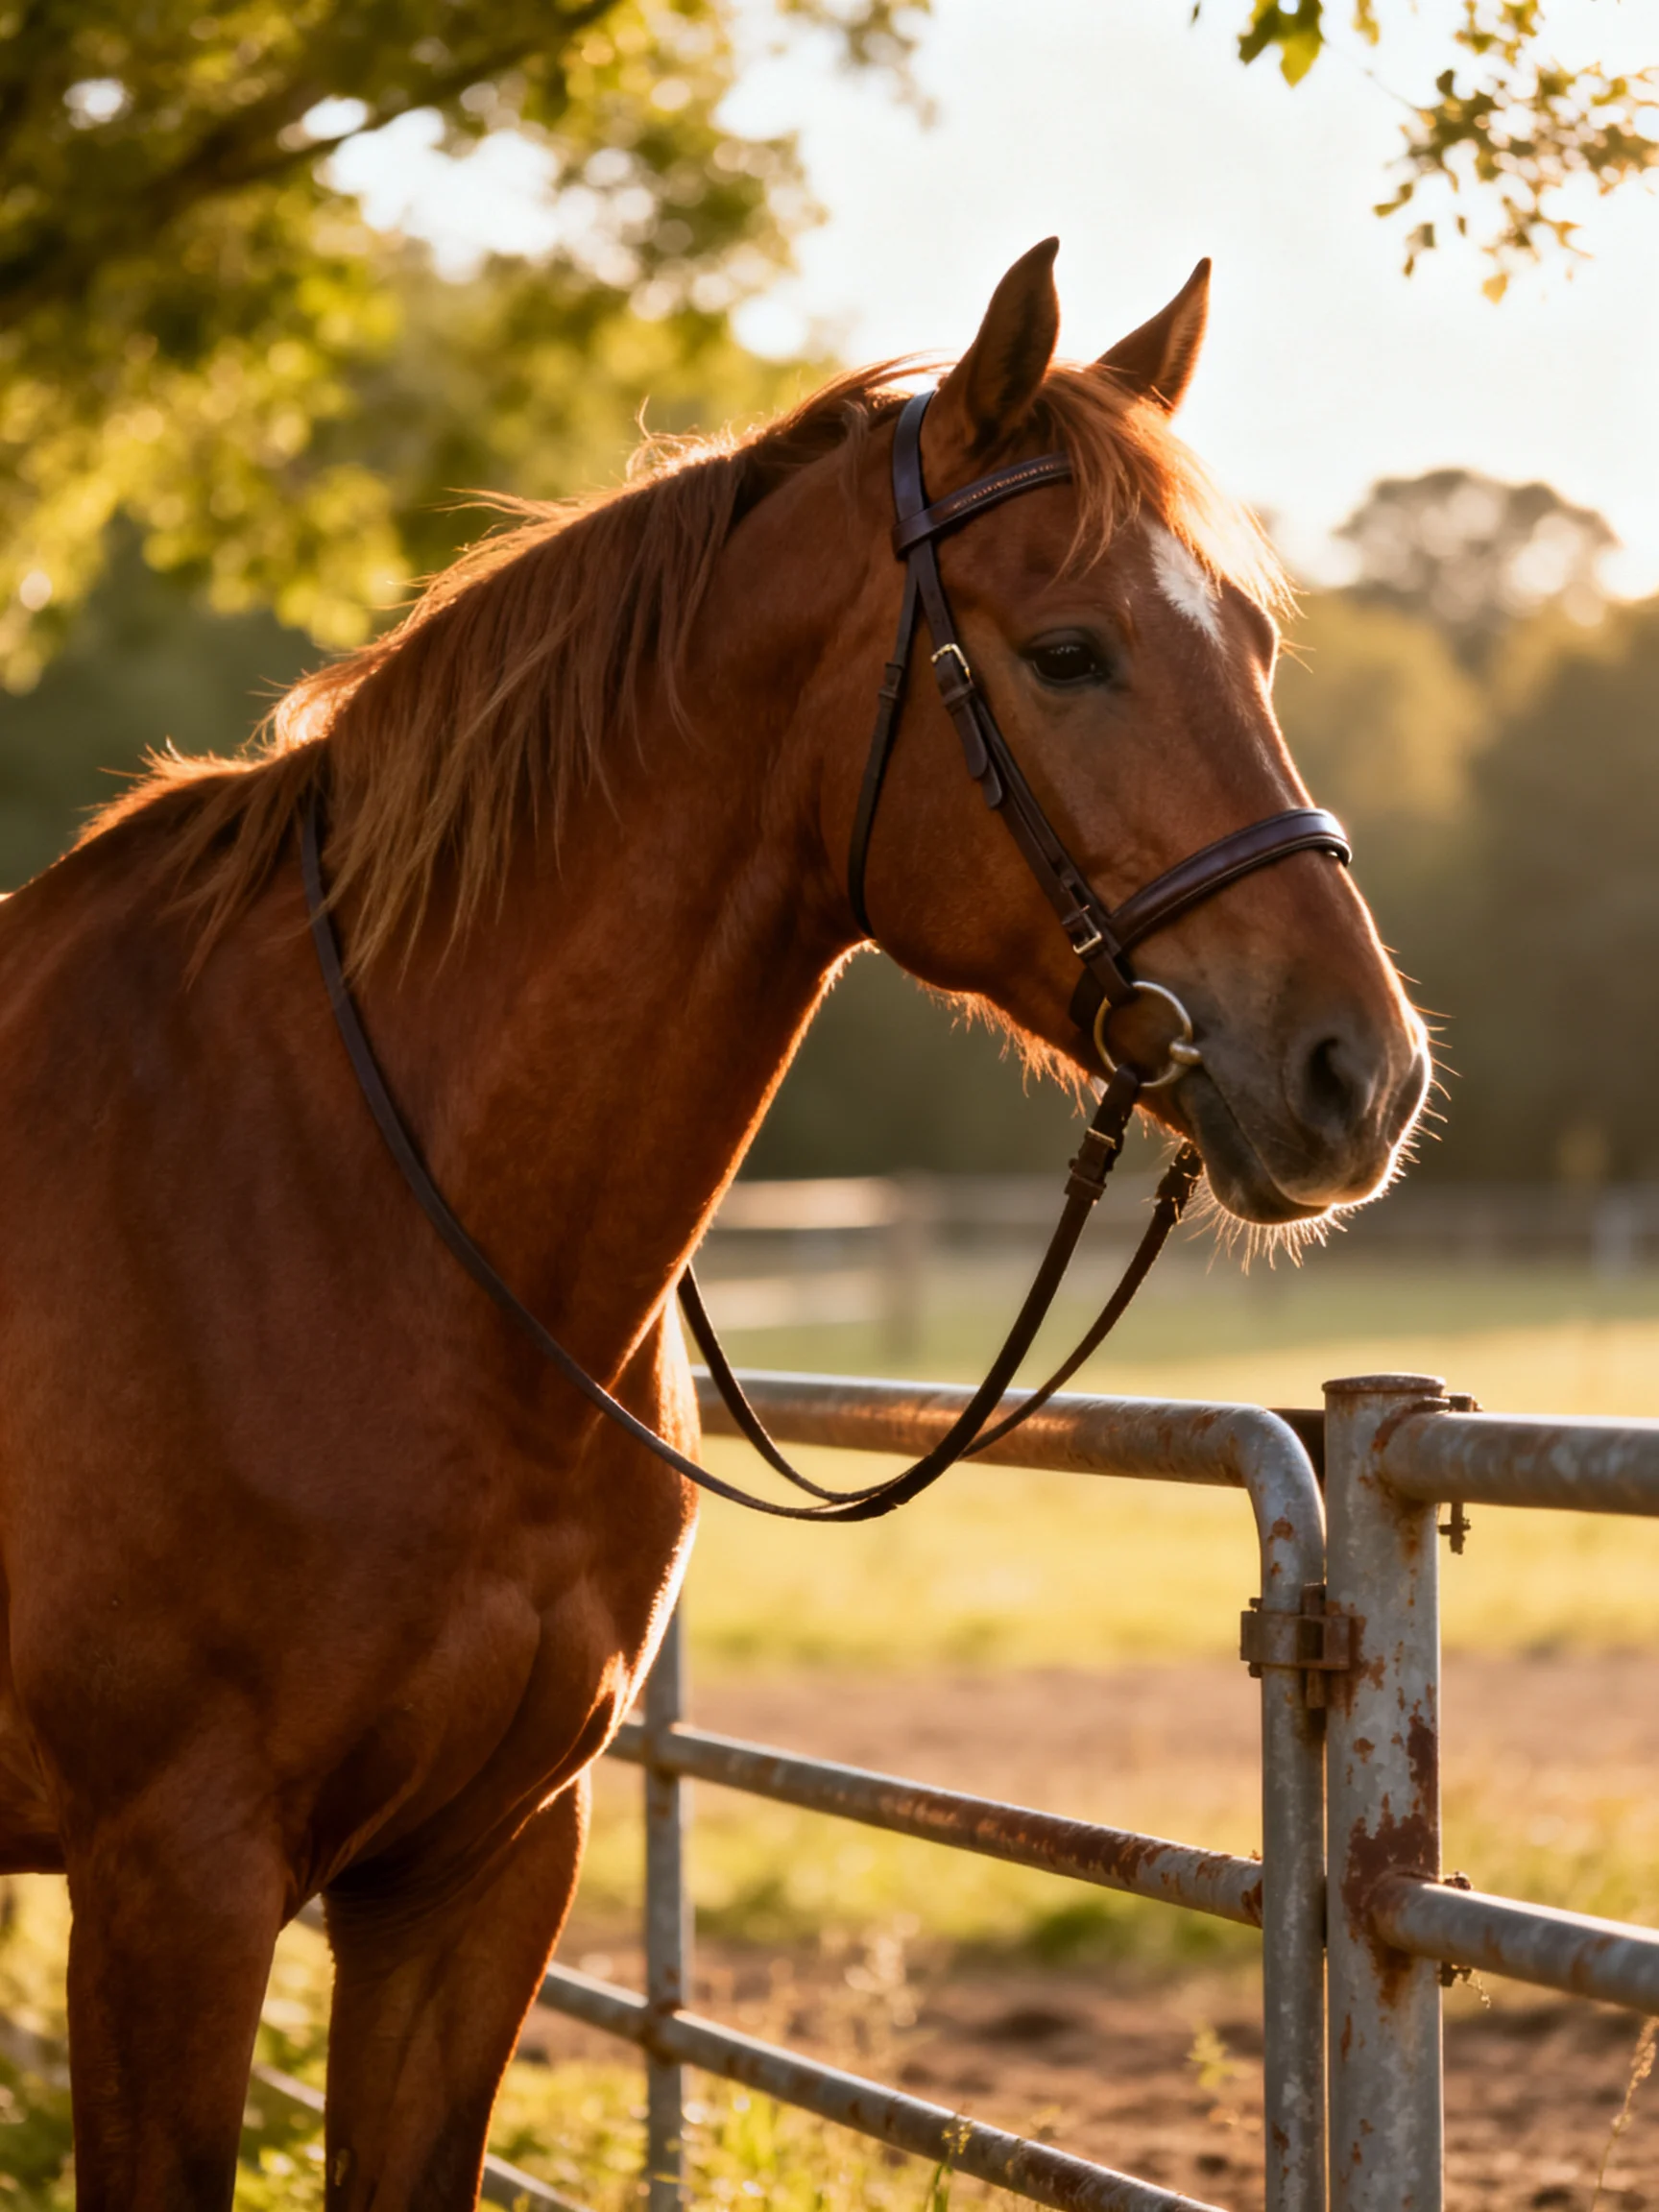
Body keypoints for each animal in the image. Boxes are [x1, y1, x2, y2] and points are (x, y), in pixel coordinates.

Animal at [0, 241, 1428, 2208]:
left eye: (1260, 647)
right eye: (1069, 652)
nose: (1359, 1072)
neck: (345, 1211)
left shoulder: (475, 1873)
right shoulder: (173, 1892)